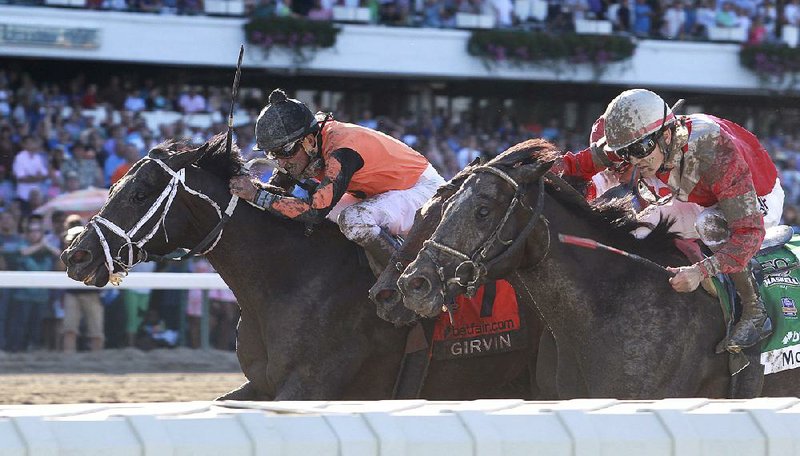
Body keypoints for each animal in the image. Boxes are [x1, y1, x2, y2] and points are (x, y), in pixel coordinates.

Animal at [61, 134, 536, 400]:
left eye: (139, 193)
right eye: (114, 186)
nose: (75, 255)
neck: (290, 280)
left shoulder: (311, 385)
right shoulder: (263, 385)